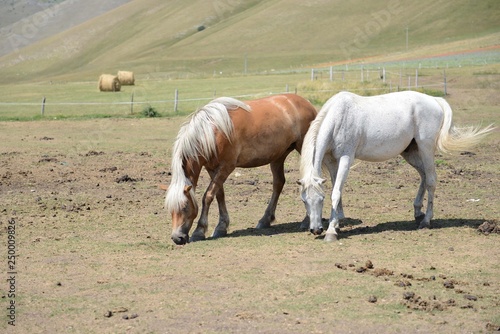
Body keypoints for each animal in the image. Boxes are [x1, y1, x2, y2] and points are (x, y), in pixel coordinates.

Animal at [167, 94, 316, 245]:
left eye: (185, 206)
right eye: (170, 209)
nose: (177, 238)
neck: (212, 132)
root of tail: (305, 102)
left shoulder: (226, 167)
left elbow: (208, 196)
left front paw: (199, 231)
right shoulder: (212, 168)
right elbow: (219, 194)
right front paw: (221, 227)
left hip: (304, 149)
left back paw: (307, 220)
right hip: (278, 156)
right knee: (278, 183)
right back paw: (265, 220)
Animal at [298, 90, 494, 243]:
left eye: (321, 199)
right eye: (304, 201)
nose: (315, 229)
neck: (339, 117)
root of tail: (434, 100)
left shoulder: (346, 157)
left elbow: (336, 192)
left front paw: (331, 231)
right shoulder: (331, 161)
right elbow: (337, 190)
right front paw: (337, 222)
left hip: (426, 148)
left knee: (431, 180)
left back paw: (426, 221)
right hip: (410, 152)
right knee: (424, 176)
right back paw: (417, 212)